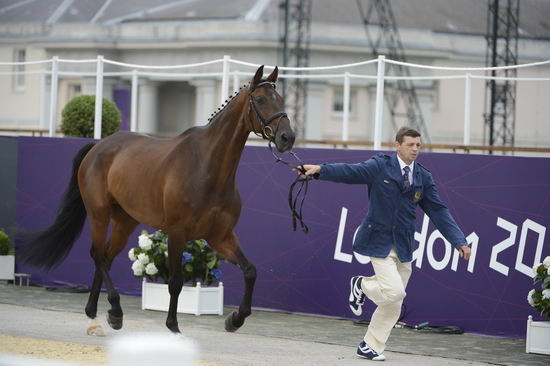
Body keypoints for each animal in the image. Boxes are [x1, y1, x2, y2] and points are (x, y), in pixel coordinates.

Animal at [20, 65, 298, 334]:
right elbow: (175, 282)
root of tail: (98, 147)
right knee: (97, 255)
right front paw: (173, 326)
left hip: (125, 222)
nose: (288, 137)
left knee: (106, 258)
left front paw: (235, 320)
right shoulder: (177, 232)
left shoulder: (220, 235)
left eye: (281, 99)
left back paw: (99, 315)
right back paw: (112, 311)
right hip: (98, 214)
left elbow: (250, 271)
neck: (206, 168)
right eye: (260, 100)